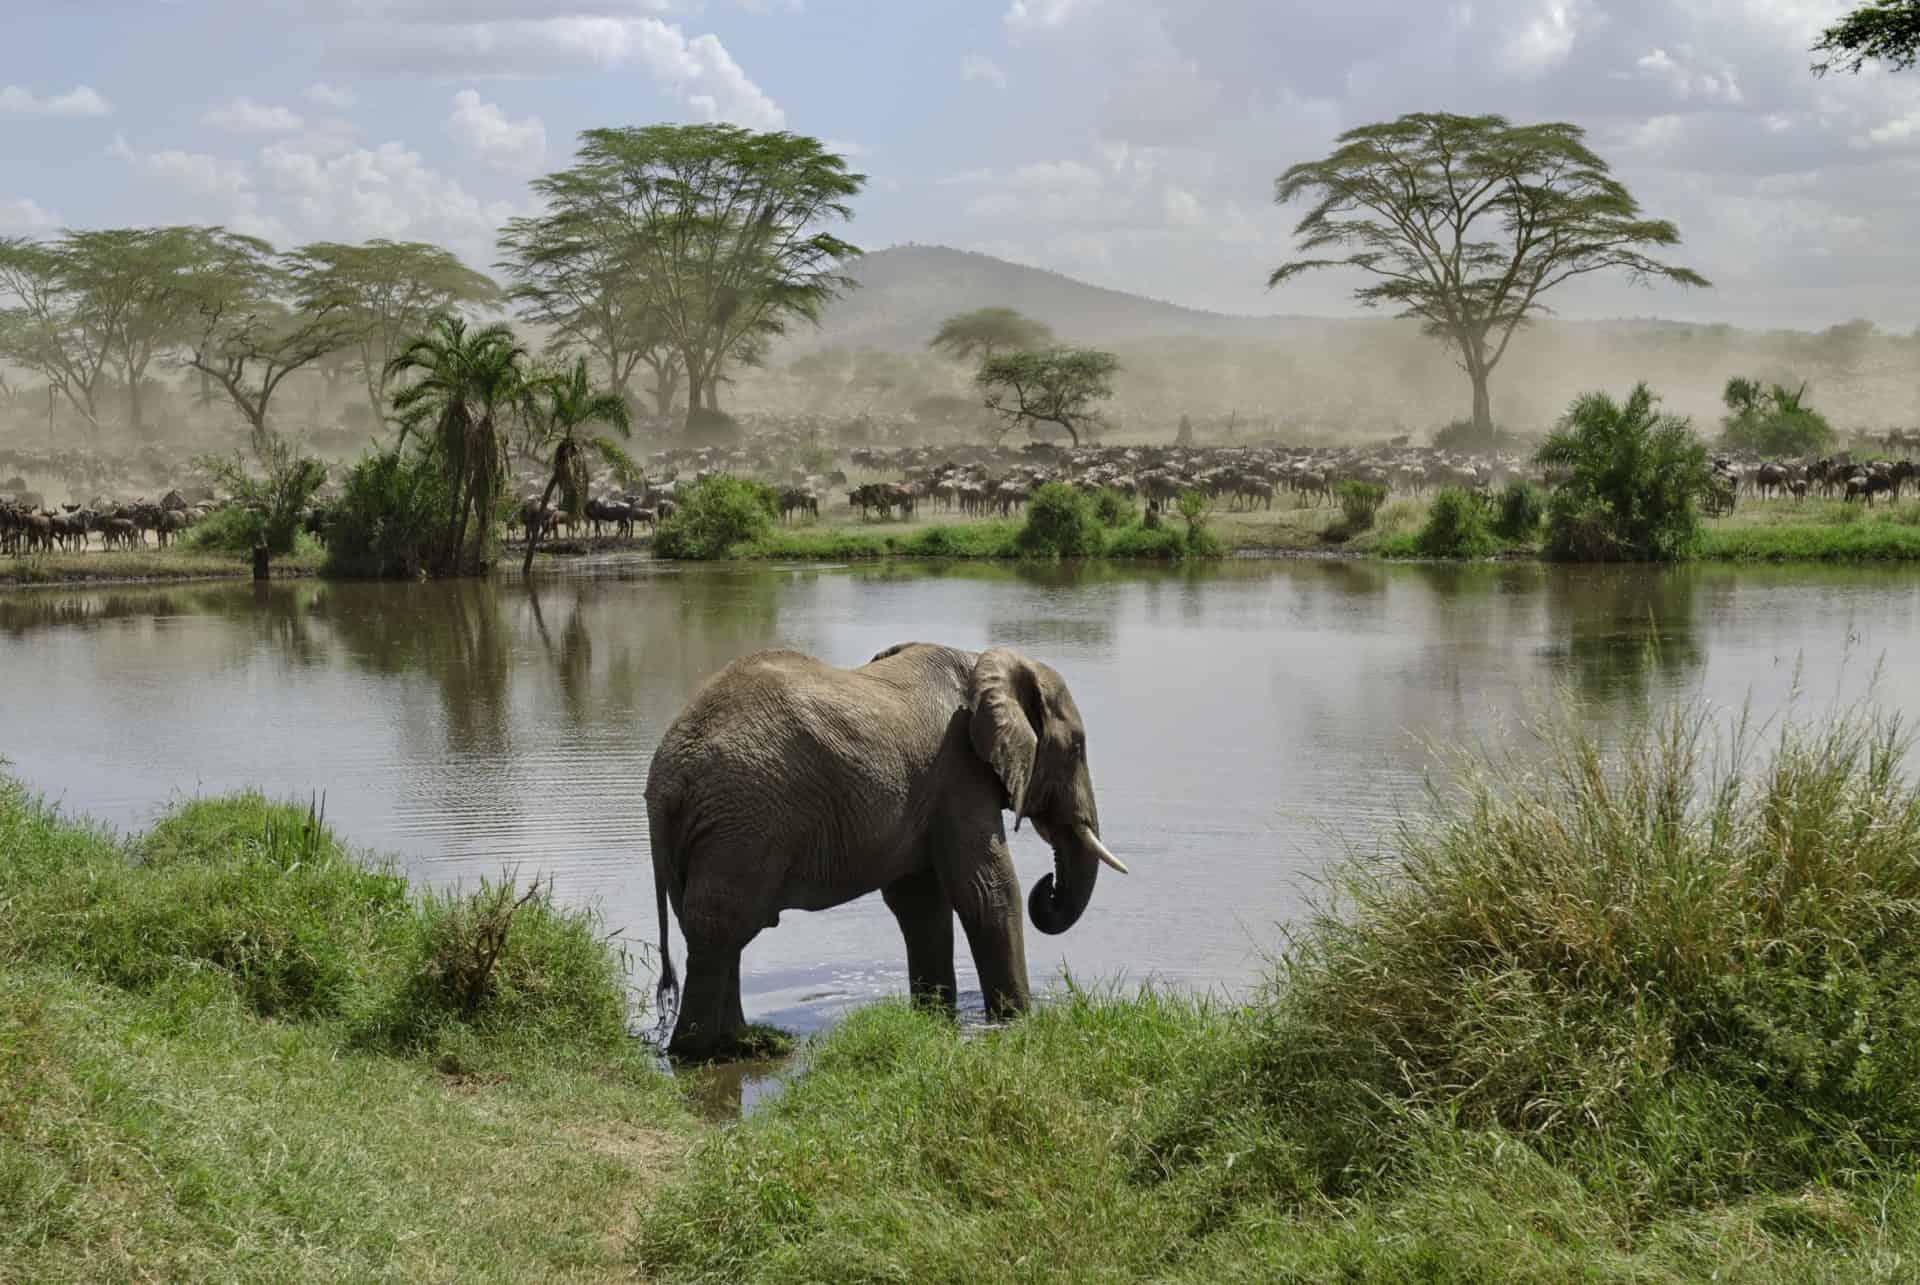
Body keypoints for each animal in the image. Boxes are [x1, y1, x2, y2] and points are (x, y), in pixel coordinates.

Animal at [645, 641, 1126, 1060]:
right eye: (1077, 747)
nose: (1049, 886)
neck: (983, 662)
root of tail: (666, 777)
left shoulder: (929, 788)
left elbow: (921, 903)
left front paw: (935, 1018)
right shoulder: (958, 770)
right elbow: (987, 889)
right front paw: (1018, 1021)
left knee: (715, 930)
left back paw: (742, 1044)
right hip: (743, 818)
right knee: (722, 925)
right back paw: (701, 1052)